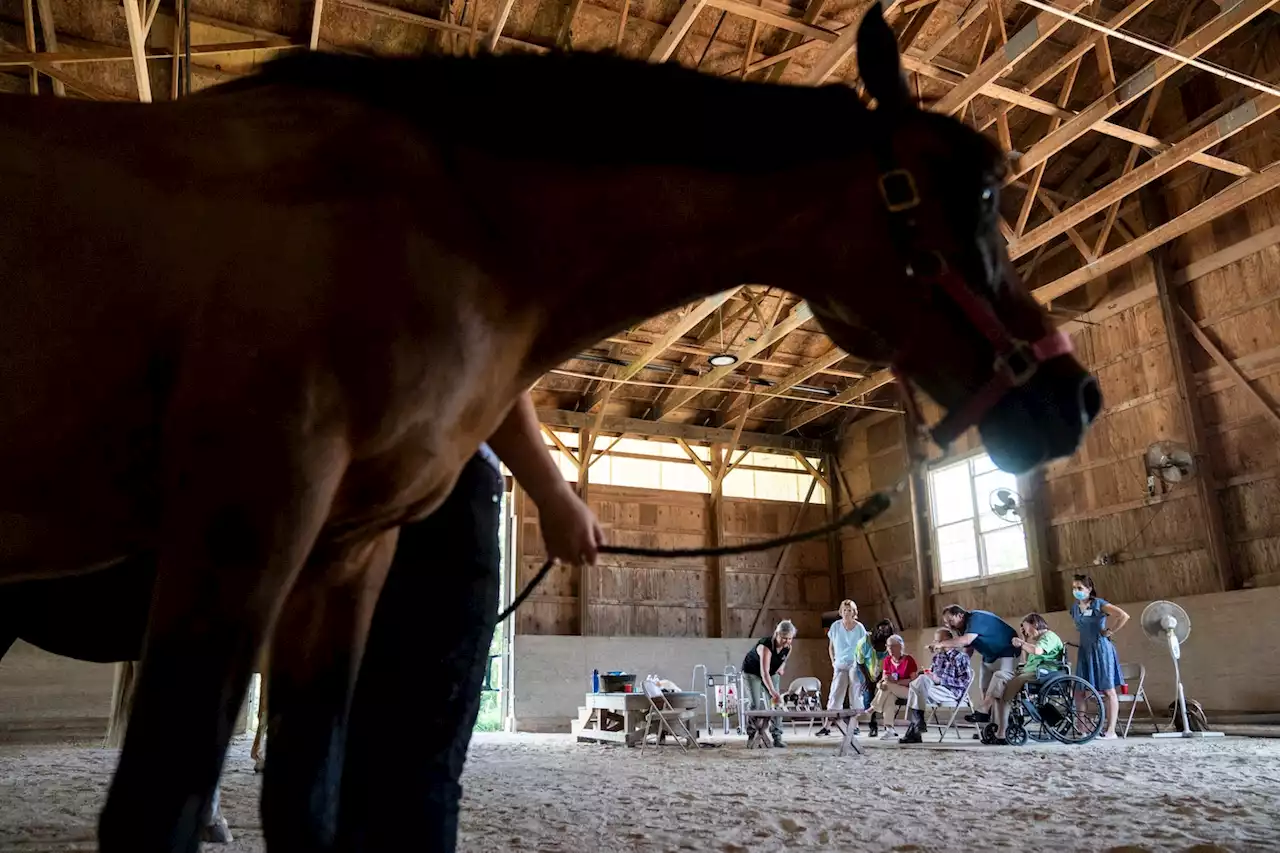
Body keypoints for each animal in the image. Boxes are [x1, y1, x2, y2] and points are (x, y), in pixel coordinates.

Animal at [0, 4, 1100, 845]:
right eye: (982, 191)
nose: (1073, 398)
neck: (442, 219)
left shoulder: (340, 555)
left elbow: (303, 797)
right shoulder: (250, 521)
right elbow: (159, 807)